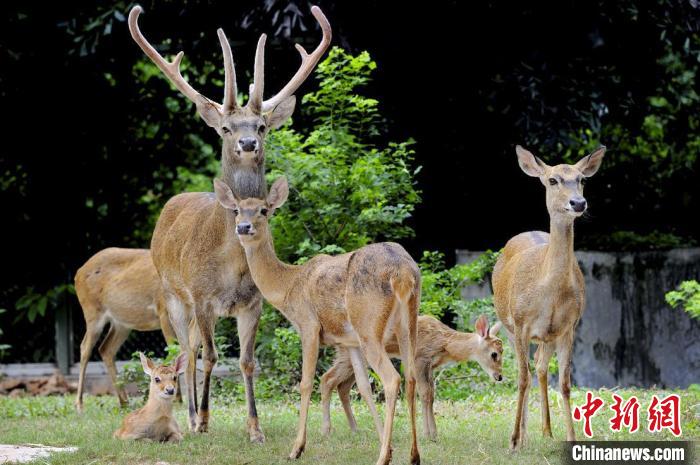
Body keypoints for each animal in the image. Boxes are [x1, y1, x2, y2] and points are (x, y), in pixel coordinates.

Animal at [73, 248, 176, 412]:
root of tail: (78, 273)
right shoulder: (163, 312)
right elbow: (174, 351)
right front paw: (177, 398)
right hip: (92, 312)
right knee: (85, 347)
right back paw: (80, 405)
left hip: (122, 323)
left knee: (106, 348)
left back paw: (124, 401)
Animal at [128, 5, 330, 436]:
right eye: (225, 127)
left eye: (262, 126)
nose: (248, 143)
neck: (232, 265)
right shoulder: (202, 297)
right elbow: (208, 356)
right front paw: (204, 420)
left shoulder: (254, 302)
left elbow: (247, 361)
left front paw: (255, 428)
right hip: (172, 294)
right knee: (187, 349)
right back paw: (189, 415)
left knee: (191, 347)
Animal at [213, 175, 422, 464]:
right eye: (236, 210)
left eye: (263, 210)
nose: (243, 227)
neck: (289, 286)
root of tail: (403, 274)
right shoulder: (348, 341)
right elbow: (363, 388)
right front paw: (386, 444)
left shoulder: (309, 326)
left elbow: (305, 383)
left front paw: (297, 448)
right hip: (406, 325)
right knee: (411, 377)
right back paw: (413, 455)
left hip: (369, 326)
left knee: (392, 380)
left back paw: (382, 459)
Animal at [318, 312, 504, 438]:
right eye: (494, 354)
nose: (499, 376)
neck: (444, 343)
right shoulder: (420, 358)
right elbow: (425, 393)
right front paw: (428, 433)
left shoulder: (430, 366)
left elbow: (431, 395)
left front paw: (434, 433)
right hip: (348, 356)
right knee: (327, 379)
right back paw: (327, 430)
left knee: (342, 386)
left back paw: (355, 428)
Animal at [492, 146, 608, 450]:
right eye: (553, 180)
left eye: (582, 179)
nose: (578, 203)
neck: (550, 292)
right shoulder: (521, 323)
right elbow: (522, 379)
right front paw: (513, 441)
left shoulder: (569, 326)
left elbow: (565, 383)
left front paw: (571, 437)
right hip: (507, 323)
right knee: (527, 371)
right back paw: (524, 434)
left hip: (548, 335)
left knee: (541, 367)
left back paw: (546, 430)